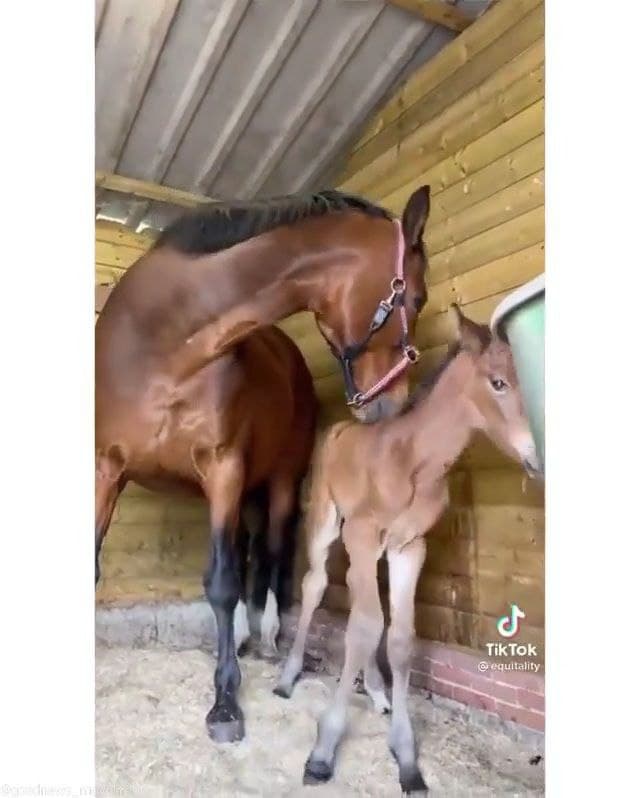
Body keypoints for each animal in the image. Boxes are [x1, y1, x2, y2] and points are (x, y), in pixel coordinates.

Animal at [95, 186, 430, 743]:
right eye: (418, 298)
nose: (391, 409)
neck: (164, 340)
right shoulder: (106, 468)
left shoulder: (224, 468)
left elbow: (223, 582)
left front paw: (225, 703)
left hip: (277, 483)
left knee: (270, 551)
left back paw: (269, 637)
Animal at [275, 306, 543, 795]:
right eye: (498, 382)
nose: (539, 457)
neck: (414, 462)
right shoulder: (363, 534)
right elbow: (362, 629)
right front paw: (323, 751)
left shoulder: (409, 547)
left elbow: (397, 637)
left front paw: (406, 756)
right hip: (328, 521)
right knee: (317, 584)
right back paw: (288, 675)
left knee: (360, 601)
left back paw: (378, 691)